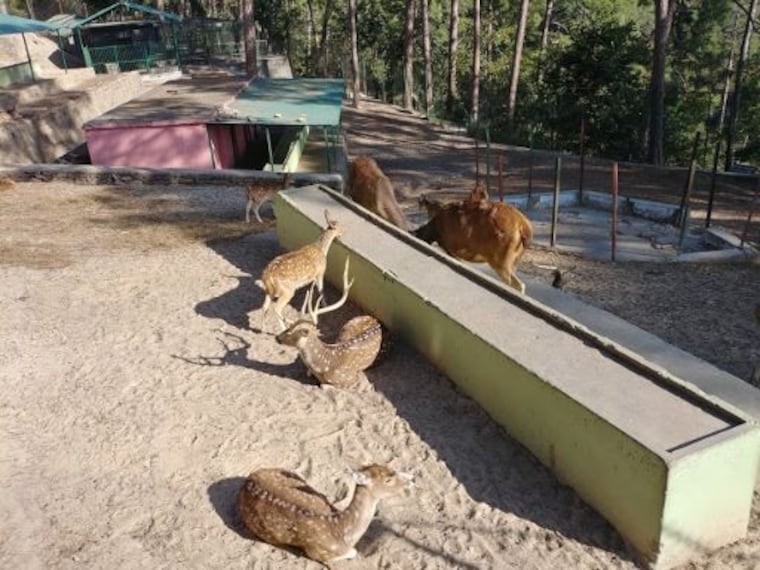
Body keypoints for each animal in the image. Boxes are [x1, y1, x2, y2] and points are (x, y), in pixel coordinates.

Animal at [237, 463, 413, 567]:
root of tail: (248, 479)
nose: (412, 479)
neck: (342, 531)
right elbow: (353, 552)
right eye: (388, 479)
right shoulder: (317, 551)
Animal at [275, 259, 384, 388]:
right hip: (346, 327)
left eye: (296, 331)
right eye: (290, 326)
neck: (324, 366)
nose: (278, 337)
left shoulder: (351, 378)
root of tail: (374, 319)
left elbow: (325, 385)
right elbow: (310, 374)